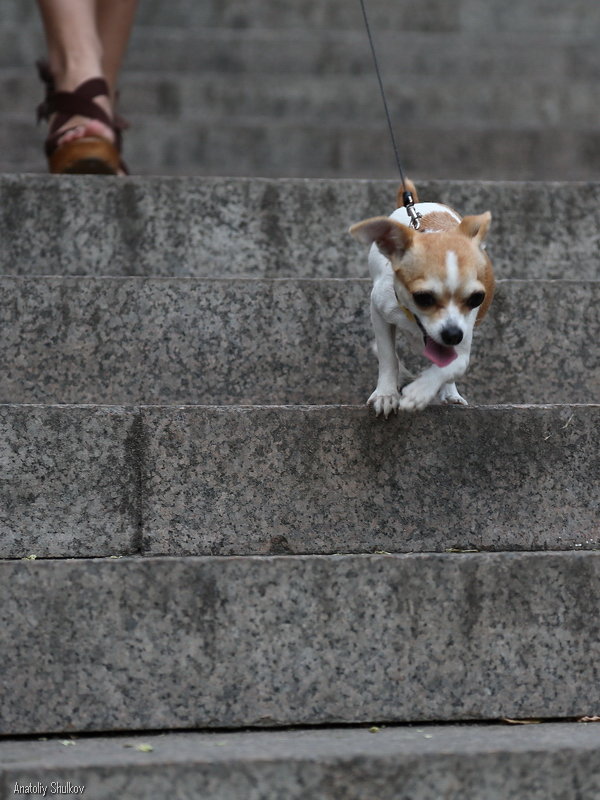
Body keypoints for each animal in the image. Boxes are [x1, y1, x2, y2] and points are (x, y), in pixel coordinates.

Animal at [350, 184, 494, 416]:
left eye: (477, 298)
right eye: (423, 298)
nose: (453, 334)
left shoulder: (463, 337)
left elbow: (453, 366)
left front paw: (421, 391)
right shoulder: (378, 311)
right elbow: (388, 356)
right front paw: (386, 394)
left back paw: (451, 395)